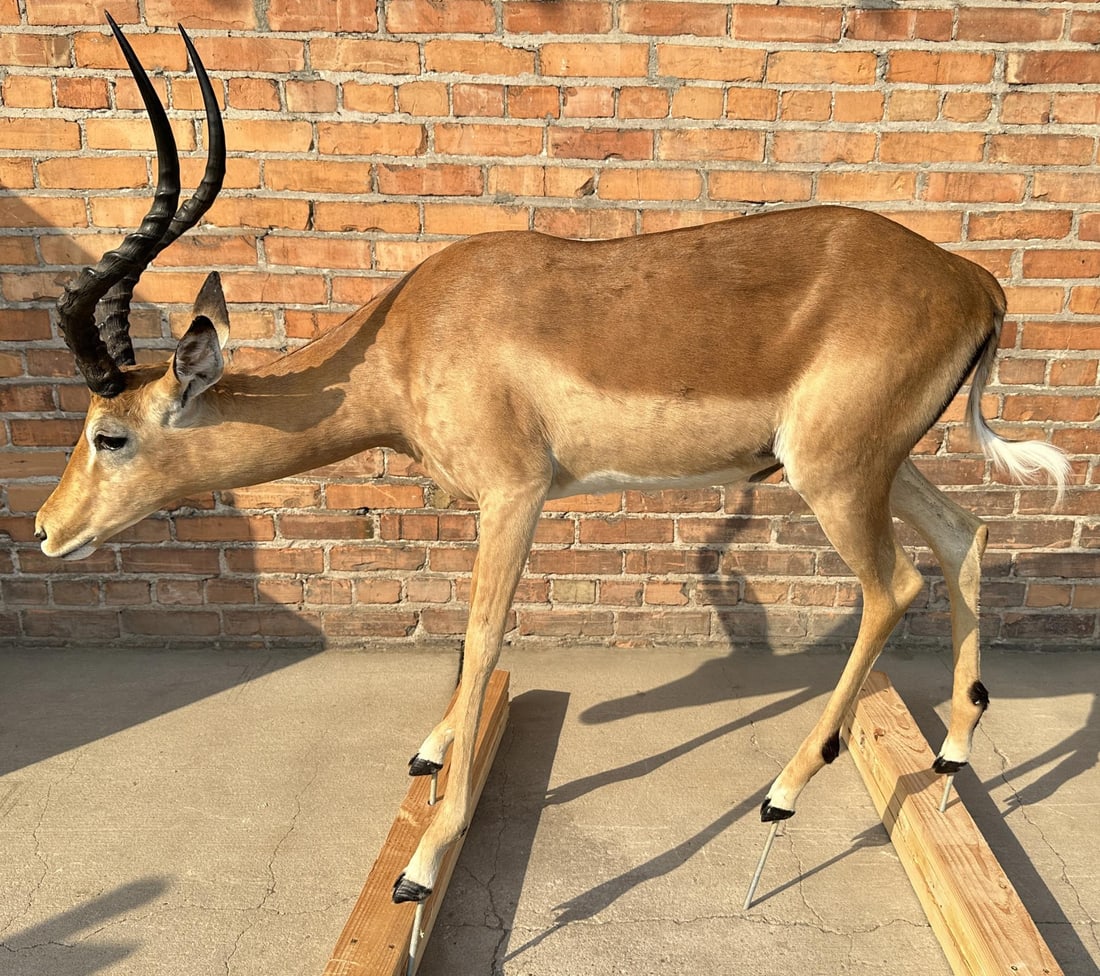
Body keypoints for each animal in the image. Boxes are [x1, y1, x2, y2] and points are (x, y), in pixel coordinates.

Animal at [36, 18, 1069, 927]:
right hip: (878, 465)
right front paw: (433, 749)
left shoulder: (515, 496)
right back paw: (952, 757)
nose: (46, 529)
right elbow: (468, 652)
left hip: (836, 477)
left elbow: (482, 633)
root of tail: (975, 280)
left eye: (109, 433)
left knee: (894, 587)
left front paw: (422, 862)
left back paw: (782, 794)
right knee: (966, 536)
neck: (409, 340)